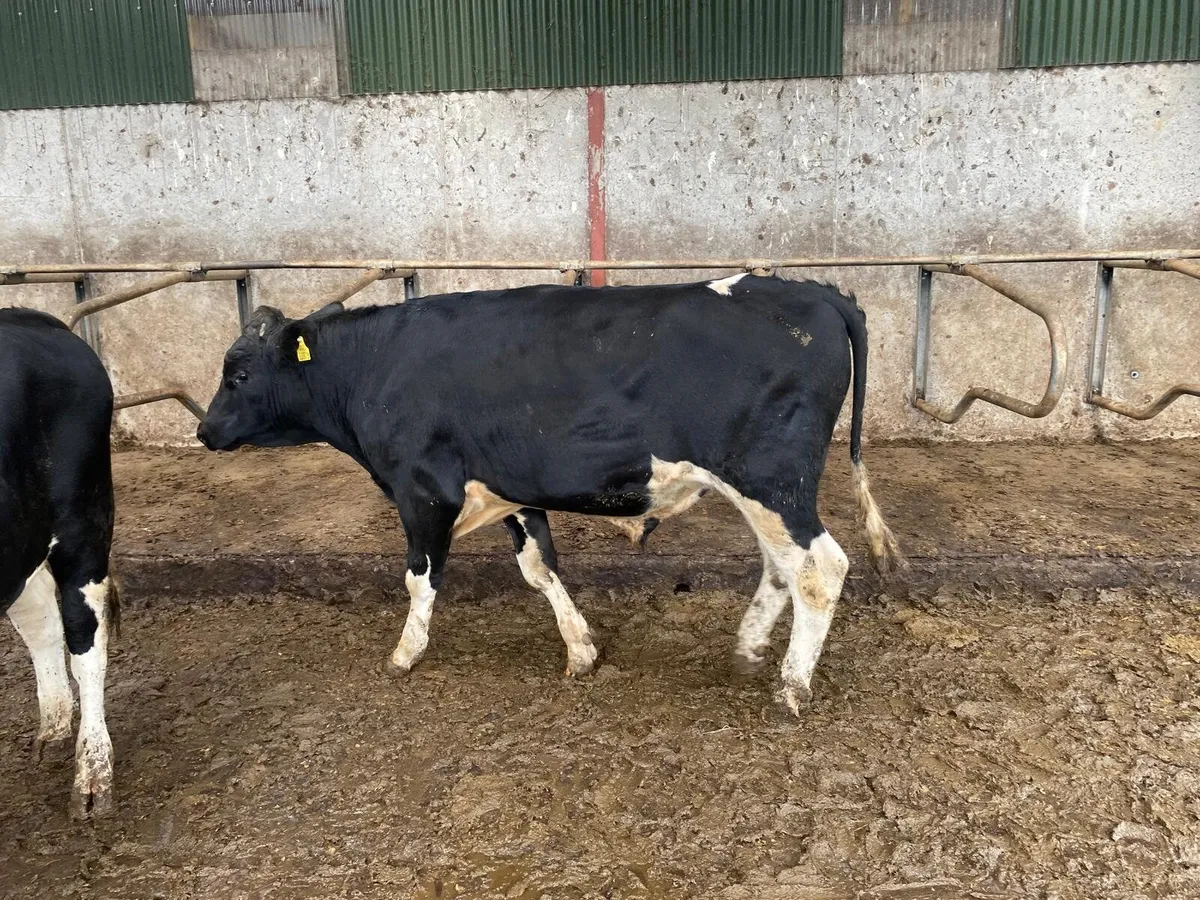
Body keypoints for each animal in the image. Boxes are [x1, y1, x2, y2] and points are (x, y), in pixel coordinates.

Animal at [197, 274, 902, 713]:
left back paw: (792, 686)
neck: (376, 365)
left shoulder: (422, 489)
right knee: (781, 566)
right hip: (762, 489)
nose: (204, 430)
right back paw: (749, 650)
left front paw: (404, 653)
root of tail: (811, 290)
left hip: (772, 480)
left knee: (820, 568)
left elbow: (420, 578)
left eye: (239, 372)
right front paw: (581, 650)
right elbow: (540, 568)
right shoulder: (511, 486)